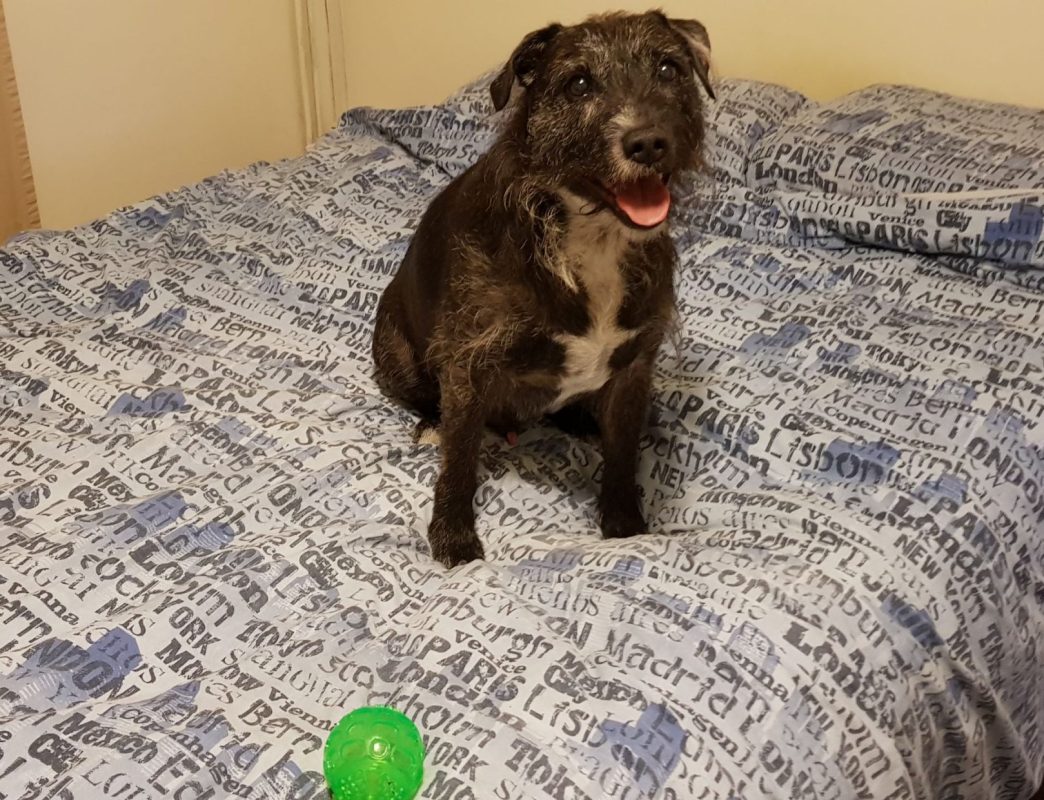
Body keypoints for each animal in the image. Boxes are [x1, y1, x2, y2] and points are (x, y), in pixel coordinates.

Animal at [375, 9, 718, 568]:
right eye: (578, 84)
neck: (590, 236)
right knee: (428, 401)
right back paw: (431, 423)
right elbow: (460, 461)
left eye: (670, 69)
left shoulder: (634, 367)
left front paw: (625, 528)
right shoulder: (468, 363)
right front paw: (453, 536)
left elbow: (623, 455)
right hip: (396, 351)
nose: (648, 142)